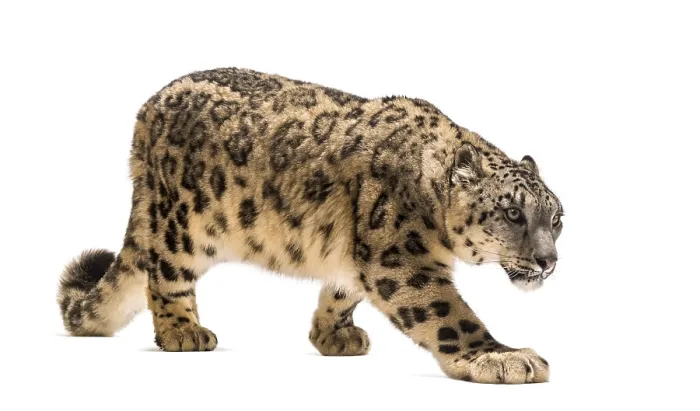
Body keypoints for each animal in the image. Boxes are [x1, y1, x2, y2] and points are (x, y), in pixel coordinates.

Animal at [57, 68, 564, 384]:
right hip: (181, 222)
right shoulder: (399, 257)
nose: (548, 261)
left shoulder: (356, 257)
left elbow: (342, 289)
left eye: (557, 219)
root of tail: (147, 110)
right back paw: (184, 331)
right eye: (513, 213)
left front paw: (333, 335)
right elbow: (446, 313)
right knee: (164, 274)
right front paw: (502, 357)